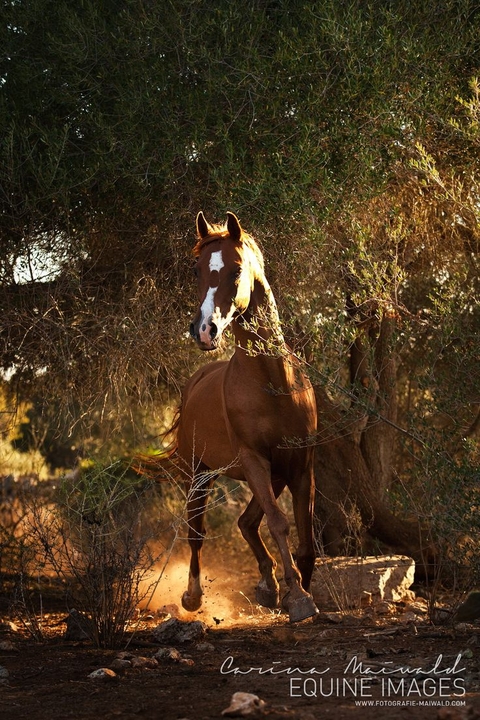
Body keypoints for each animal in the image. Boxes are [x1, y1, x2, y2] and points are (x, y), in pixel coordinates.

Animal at [165, 211, 318, 623]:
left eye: (236, 270)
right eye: (196, 269)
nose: (204, 330)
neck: (272, 381)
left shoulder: (300, 465)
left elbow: (306, 533)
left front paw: (300, 588)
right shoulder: (253, 460)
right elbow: (280, 523)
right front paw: (299, 597)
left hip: (272, 474)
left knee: (247, 522)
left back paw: (267, 585)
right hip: (201, 474)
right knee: (197, 531)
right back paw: (193, 596)